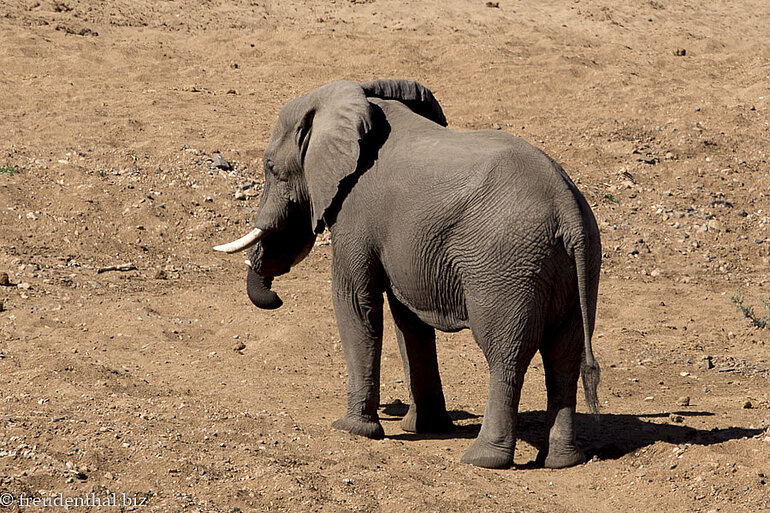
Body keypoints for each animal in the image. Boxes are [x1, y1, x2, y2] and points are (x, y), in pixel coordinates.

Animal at [214, 79, 601, 469]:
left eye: (271, 167)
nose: (275, 297)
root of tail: (566, 207)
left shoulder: (355, 214)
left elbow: (355, 303)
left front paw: (351, 429)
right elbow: (408, 321)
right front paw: (425, 428)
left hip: (506, 266)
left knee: (506, 355)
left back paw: (482, 459)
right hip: (576, 266)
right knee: (564, 358)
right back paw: (563, 461)